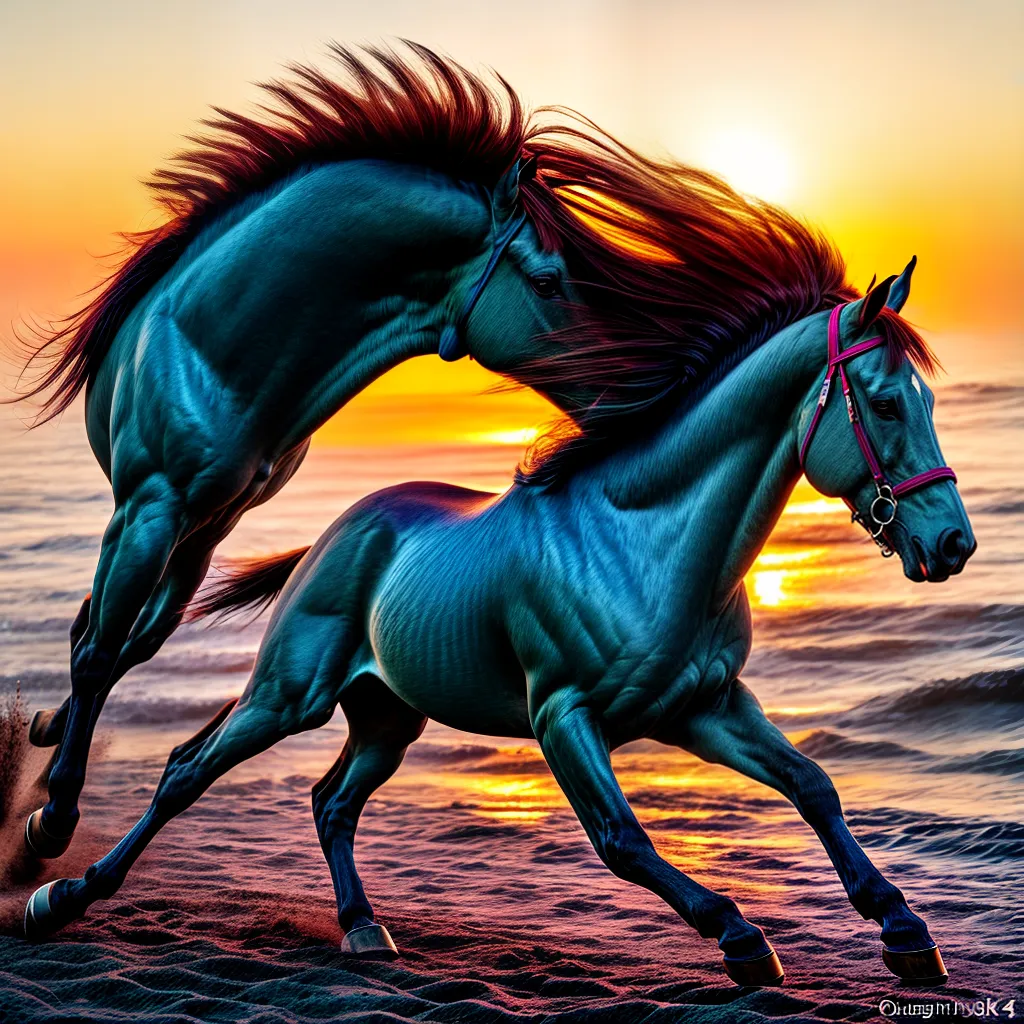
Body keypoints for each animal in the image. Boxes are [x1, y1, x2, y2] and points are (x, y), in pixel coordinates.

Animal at [24, 265, 976, 988]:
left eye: (926, 400)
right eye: (885, 404)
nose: (952, 544)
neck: (645, 541)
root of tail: (336, 533)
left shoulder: (702, 707)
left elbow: (812, 785)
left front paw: (906, 932)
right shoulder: (564, 718)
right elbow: (623, 840)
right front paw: (741, 937)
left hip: (385, 719)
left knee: (331, 801)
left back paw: (364, 927)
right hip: (288, 694)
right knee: (188, 771)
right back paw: (59, 891)